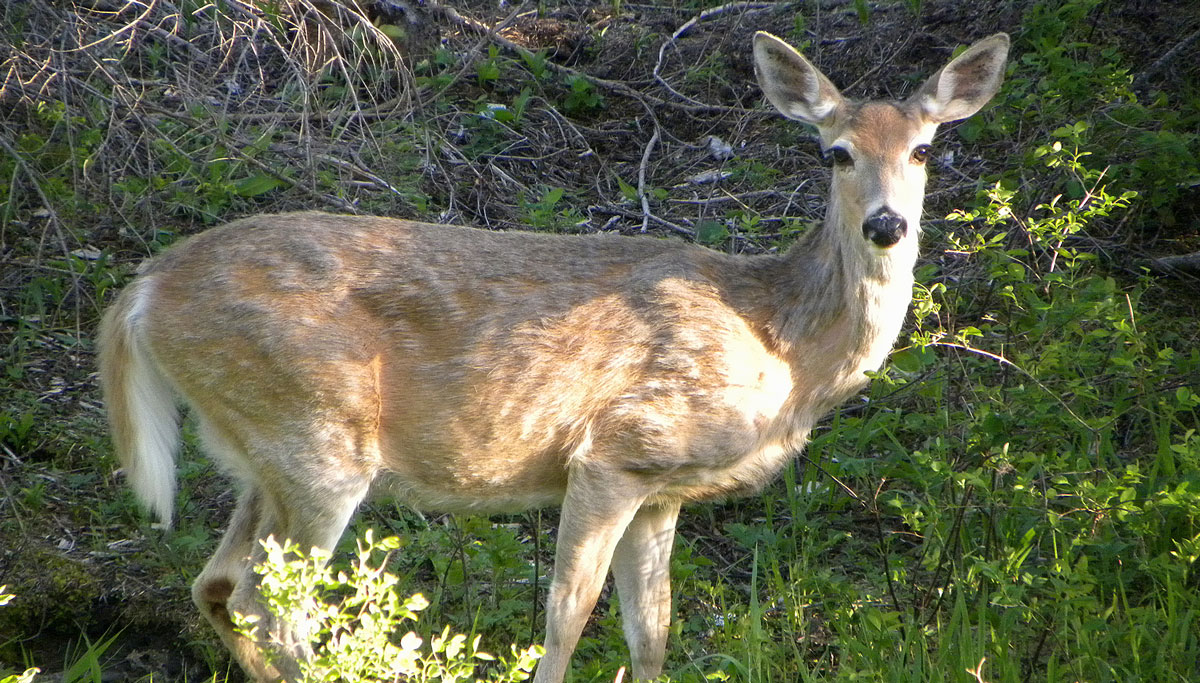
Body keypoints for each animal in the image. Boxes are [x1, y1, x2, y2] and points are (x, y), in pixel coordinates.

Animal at [97, 30, 1009, 683]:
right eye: (835, 151)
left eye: (924, 149)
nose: (886, 224)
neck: (781, 345)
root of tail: (142, 289)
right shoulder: (615, 451)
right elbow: (567, 616)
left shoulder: (663, 486)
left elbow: (651, 631)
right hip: (315, 434)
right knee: (272, 604)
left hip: (263, 454)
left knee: (217, 584)